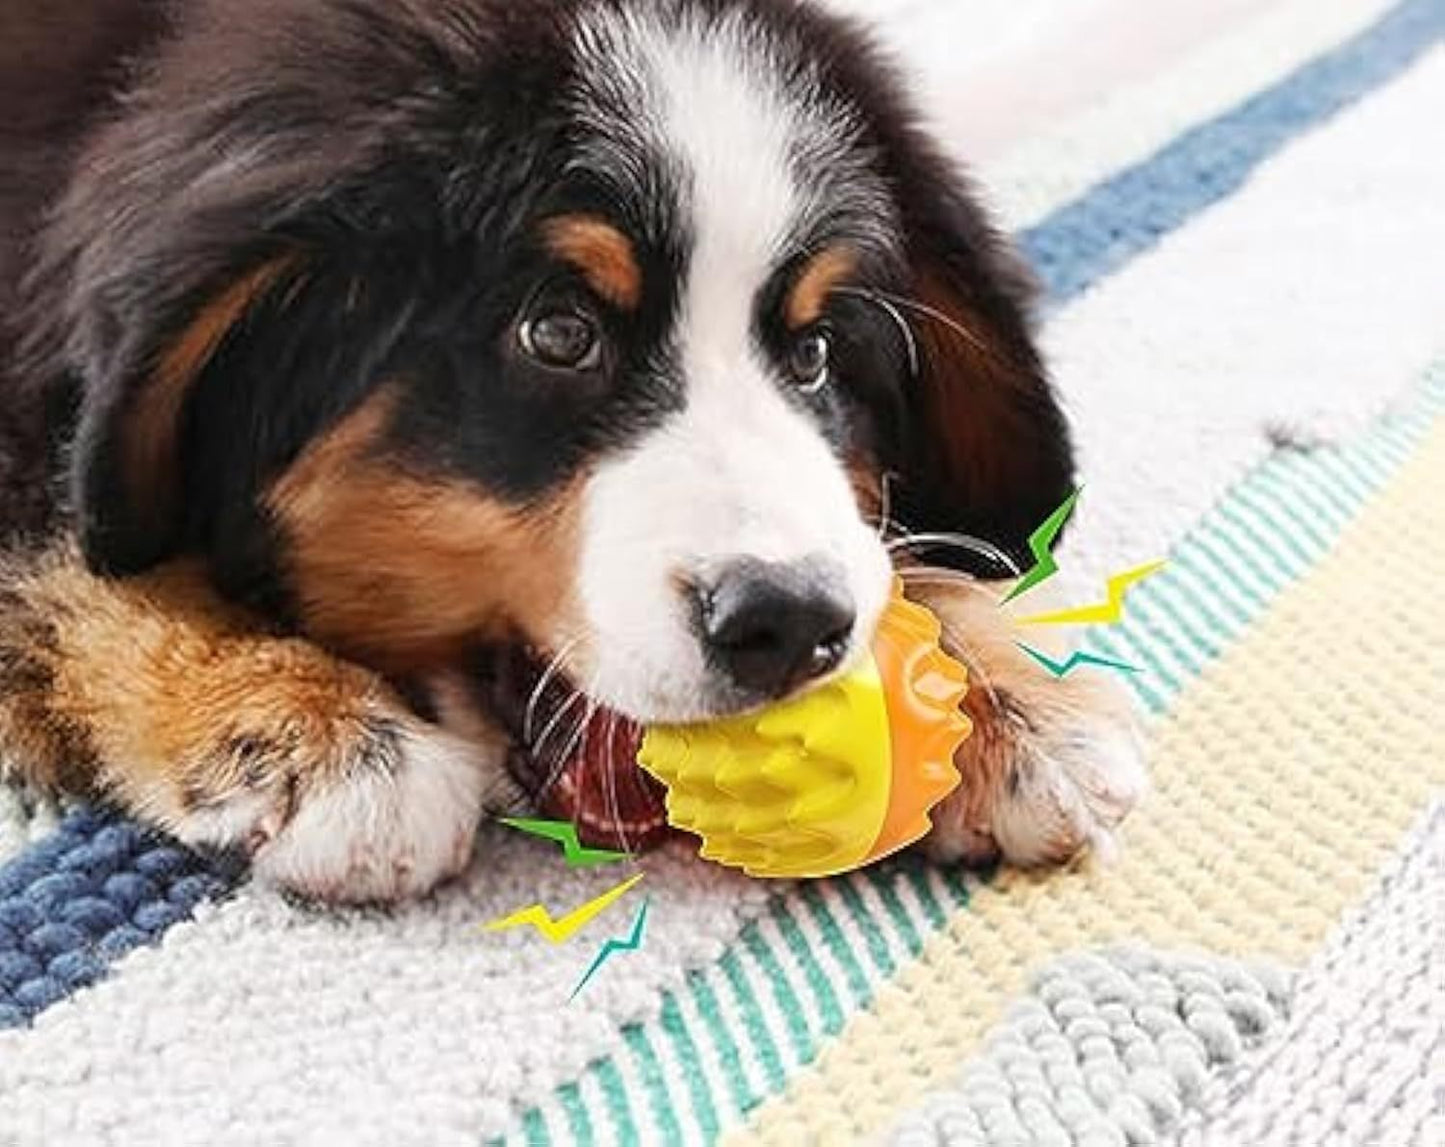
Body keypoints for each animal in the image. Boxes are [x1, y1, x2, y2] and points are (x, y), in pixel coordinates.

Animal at [2, 0, 1150, 901]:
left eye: (817, 352)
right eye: (557, 333)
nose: (788, 622)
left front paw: (1000, 695)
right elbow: (80, 551)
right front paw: (307, 724)